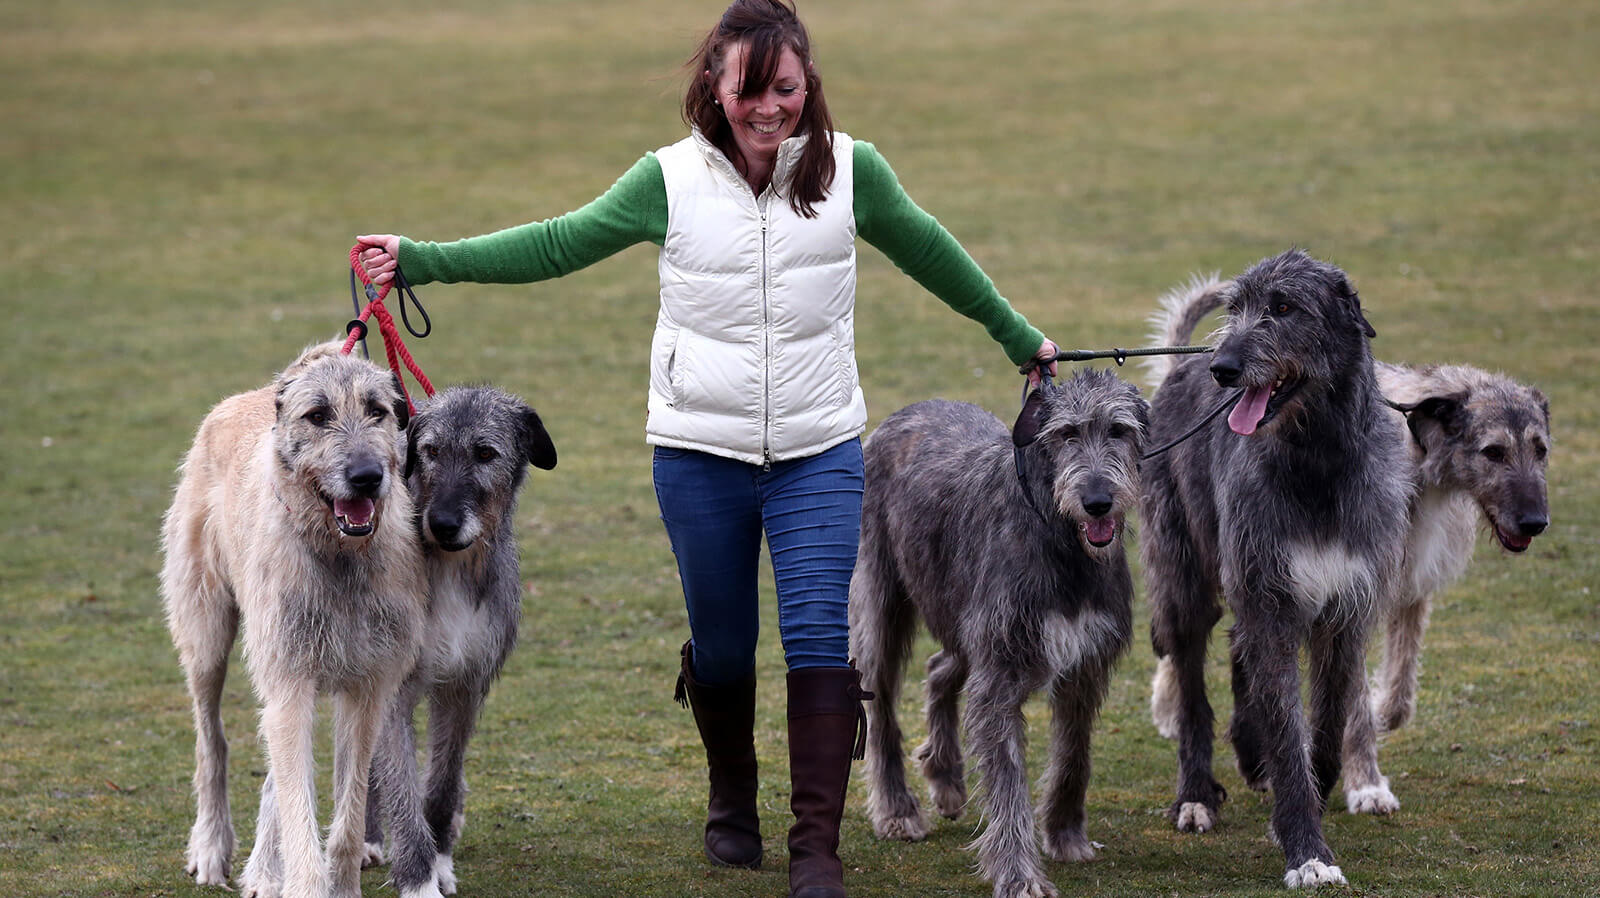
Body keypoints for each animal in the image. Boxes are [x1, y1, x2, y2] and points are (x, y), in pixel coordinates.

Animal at [366, 385, 560, 896]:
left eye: (486, 453)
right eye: (430, 451)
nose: (442, 523)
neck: (452, 565)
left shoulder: (466, 687)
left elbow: (441, 786)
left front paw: (438, 860)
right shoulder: (392, 687)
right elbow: (401, 789)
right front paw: (418, 880)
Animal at [851, 369, 1152, 896]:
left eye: (1118, 429)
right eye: (1066, 434)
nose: (1097, 503)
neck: (1060, 539)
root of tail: (904, 413)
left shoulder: (1085, 663)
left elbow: (1074, 754)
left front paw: (1066, 835)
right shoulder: (999, 671)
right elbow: (1008, 778)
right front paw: (1019, 874)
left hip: (962, 611)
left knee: (940, 667)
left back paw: (946, 774)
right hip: (883, 603)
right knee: (882, 700)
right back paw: (897, 809)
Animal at [1139, 248, 1414, 883]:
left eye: (1284, 307)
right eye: (1236, 307)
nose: (1223, 369)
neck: (1317, 462)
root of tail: (1179, 368)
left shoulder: (1346, 607)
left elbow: (1329, 721)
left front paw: (1320, 785)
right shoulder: (1271, 598)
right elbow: (1287, 730)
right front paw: (1307, 850)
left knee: (1240, 652)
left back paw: (1248, 751)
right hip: (1185, 579)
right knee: (1193, 691)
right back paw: (1195, 794)